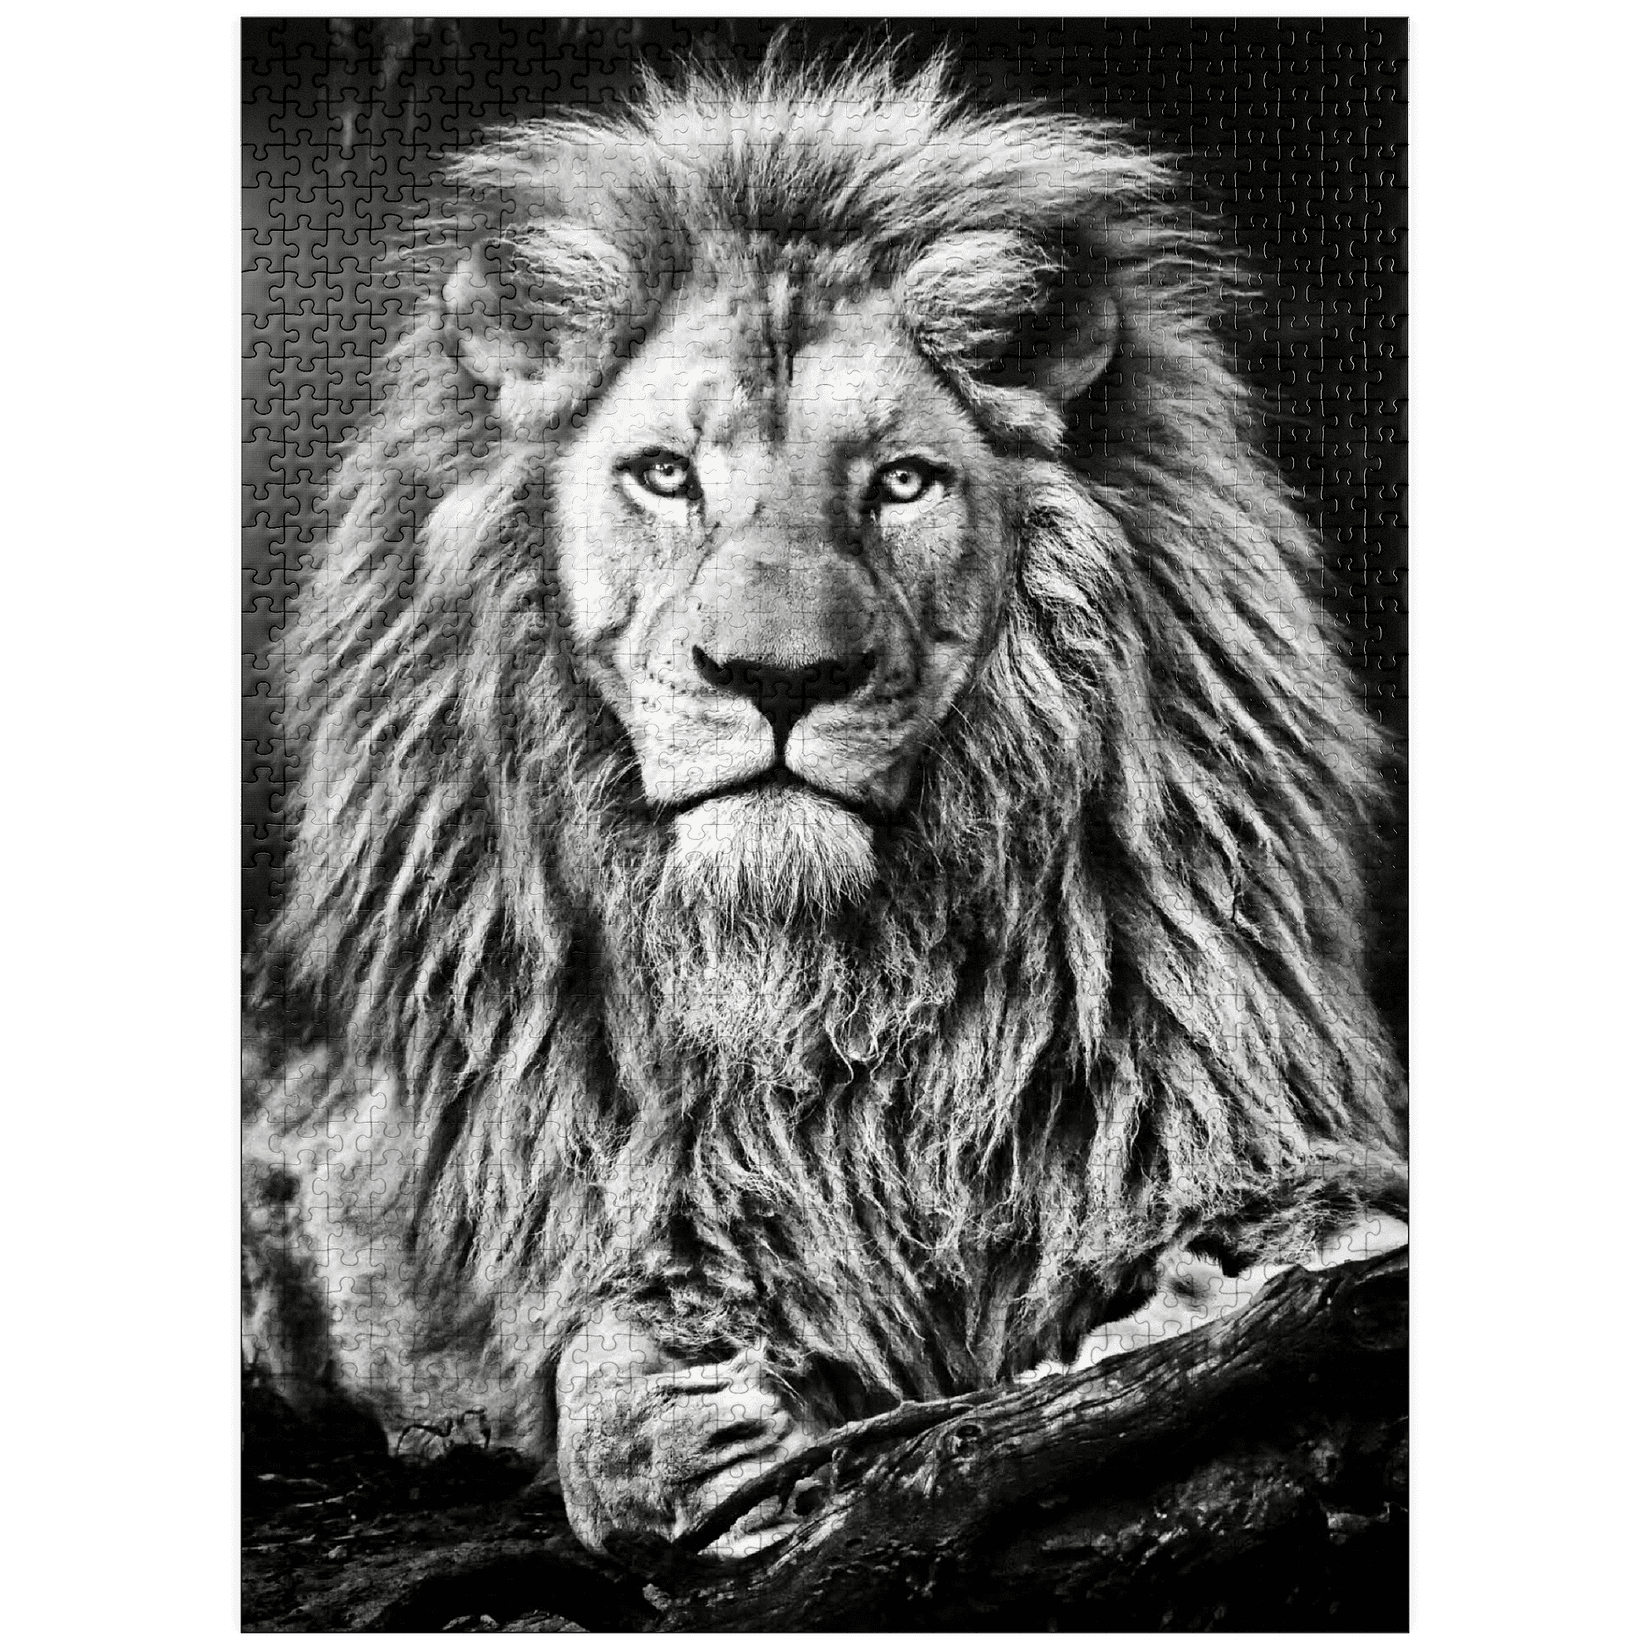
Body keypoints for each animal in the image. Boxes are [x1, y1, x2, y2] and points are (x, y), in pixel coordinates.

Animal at [242, 51, 1408, 1562]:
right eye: (665, 474)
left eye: (901, 482)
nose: (779, 678)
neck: (822, 983)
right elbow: (596, 1379)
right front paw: (699, 1428)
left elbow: (1305, 1253)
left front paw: (1156, 1319)